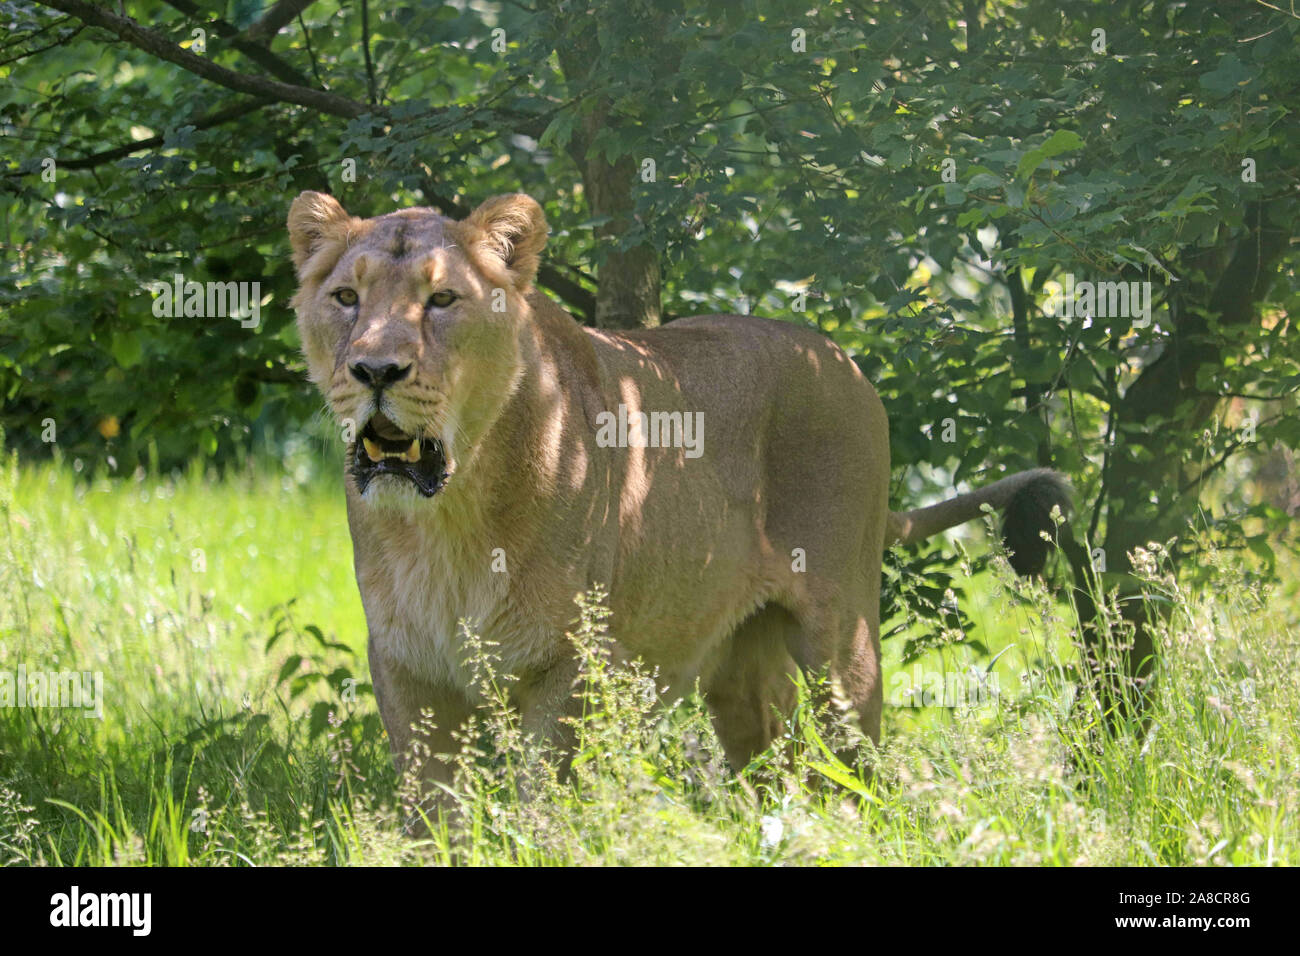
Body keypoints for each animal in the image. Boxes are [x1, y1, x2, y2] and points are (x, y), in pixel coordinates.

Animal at [287, 190, 1068, 782]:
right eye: (347, 297)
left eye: (443, 299)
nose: (375, 371)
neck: (448, 516)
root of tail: (844, 361)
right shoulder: (405, 662)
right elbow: (433, 810)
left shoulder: (572, 659)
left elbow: (542, 798)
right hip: (741, 663)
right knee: (776, 769)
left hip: (843, 639)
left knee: (858, 767)